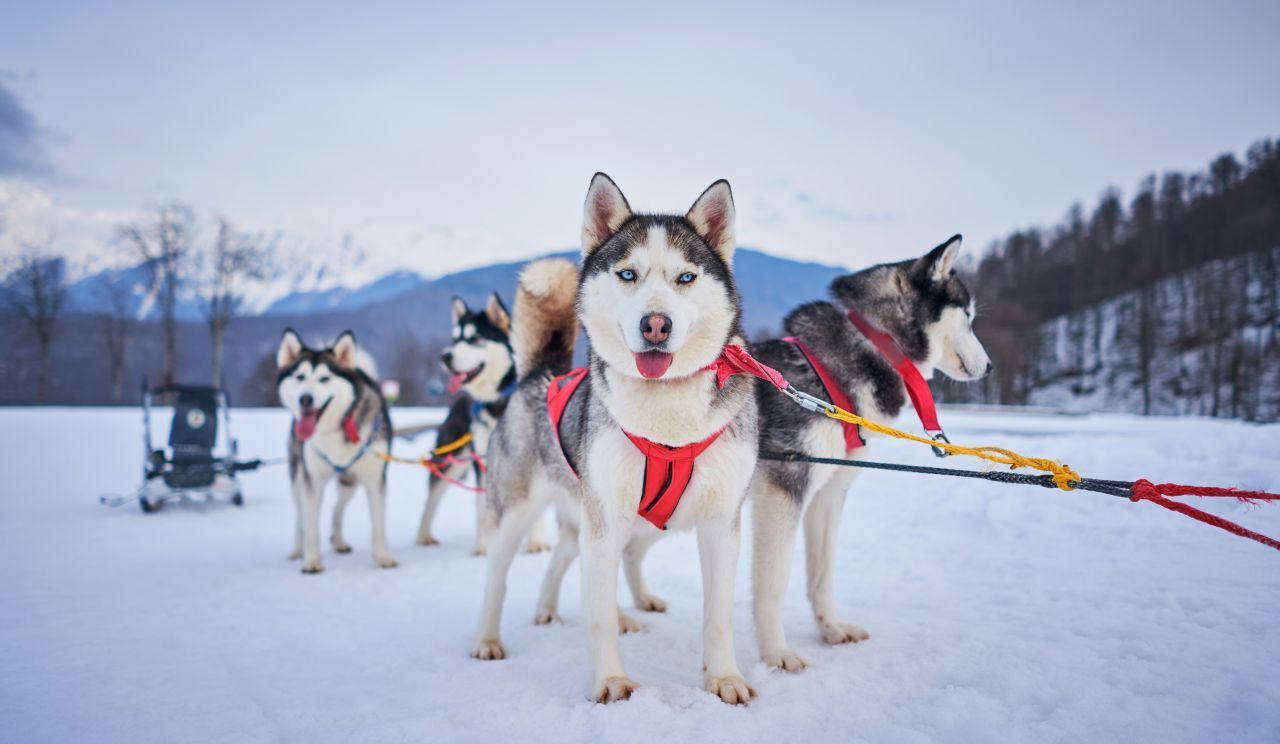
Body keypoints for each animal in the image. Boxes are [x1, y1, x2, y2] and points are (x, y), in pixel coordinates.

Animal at [277, 330, 396, 573]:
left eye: (324, 379)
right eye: (300, 377)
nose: (306, 399)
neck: (338, 428)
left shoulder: (374, 478)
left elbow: (378, 525)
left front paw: (382, 557)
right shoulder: (312, 480)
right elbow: (311, 526)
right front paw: (312, 561)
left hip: (350, 480)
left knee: (337, 508)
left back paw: (338, 540)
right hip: (298, 476)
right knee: (300, 515)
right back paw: (298, 549)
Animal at [414, 290, 545, 550]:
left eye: (474, 338)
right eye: (455, 339)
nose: (445, 356)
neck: (497, 402)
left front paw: (536, 542)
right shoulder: (485, 462)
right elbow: (484, 510)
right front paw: (483, 548)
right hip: (450, 459)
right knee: (431, 499)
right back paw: (424, 535)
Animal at [471, 172, 757, 701]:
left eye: (686, 278)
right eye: (627, 274)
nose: (656, 324)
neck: (666, 417)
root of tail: (541, 373)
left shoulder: (720, 523)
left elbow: (719, 616)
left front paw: (724, 676)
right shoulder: (604, 521)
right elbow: (597, 614)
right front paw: (610, 681)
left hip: (615, 520)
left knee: (569, 556)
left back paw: (559, 607)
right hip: (517, 514)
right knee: (497, 580)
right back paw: (486, 638)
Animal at [747, 235, 988, 671]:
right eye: (968, 315)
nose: (991, 367)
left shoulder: (828, 494)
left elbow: (822, 575)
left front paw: (831, 629)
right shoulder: (783, 487)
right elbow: (773, 582)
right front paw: (775, 652)